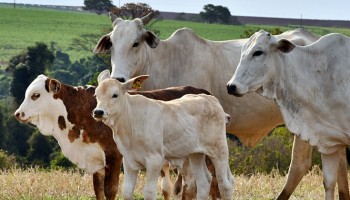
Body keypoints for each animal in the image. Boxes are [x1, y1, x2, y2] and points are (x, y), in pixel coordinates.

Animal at [94, 74, 234, 199]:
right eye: (96, 95)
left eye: (115, 95)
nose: (98, 112)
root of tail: (210, 99)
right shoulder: (129, 161)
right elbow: (127, 192)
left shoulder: (154, 160)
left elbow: (149, 193)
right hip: (195, 154)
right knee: (203, 182)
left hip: (219, 150)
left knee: (225, 185)